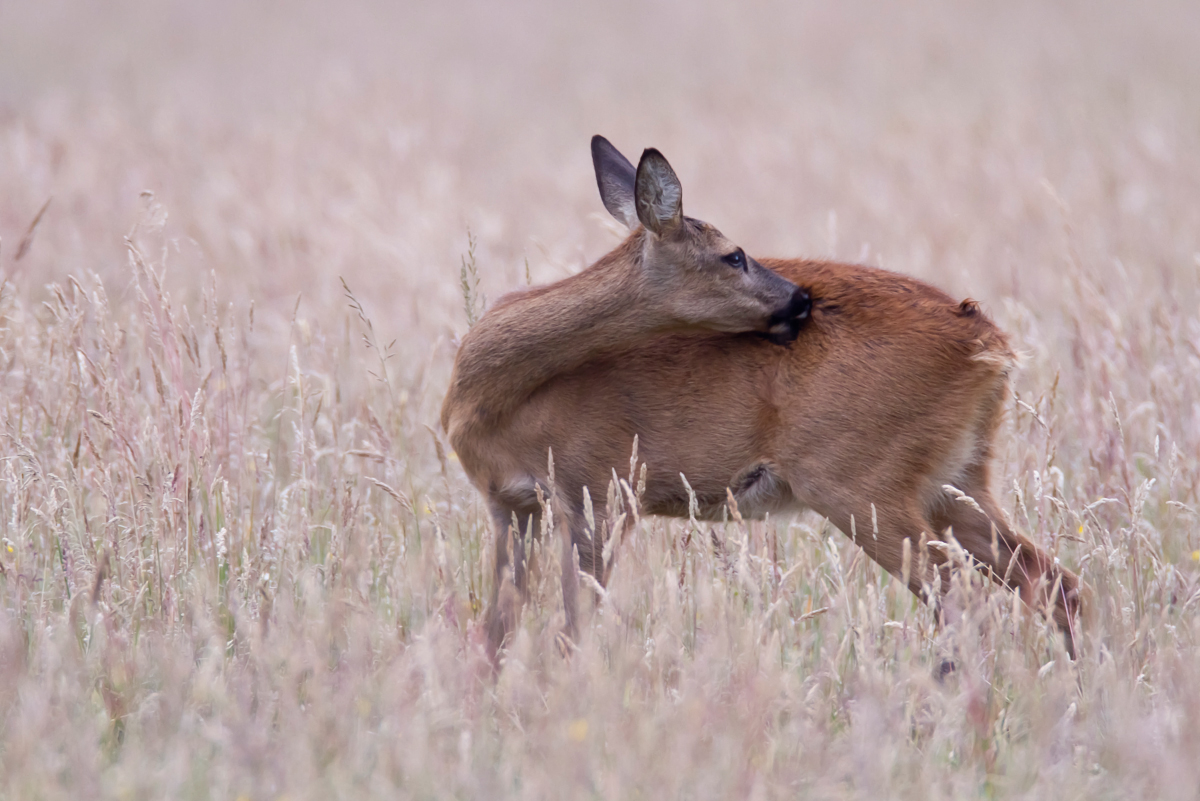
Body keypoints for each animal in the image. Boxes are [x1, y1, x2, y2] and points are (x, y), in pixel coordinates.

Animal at [444, 136, 1089, 661]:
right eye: (733, 255)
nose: (801, 301)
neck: (496, 400)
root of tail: (989, 345)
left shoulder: (600, 492)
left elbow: (569, 630)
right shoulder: (512, 505)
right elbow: (498, 630)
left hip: (859, 480)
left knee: (964, 600)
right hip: (957, 479)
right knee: (1054, 582)